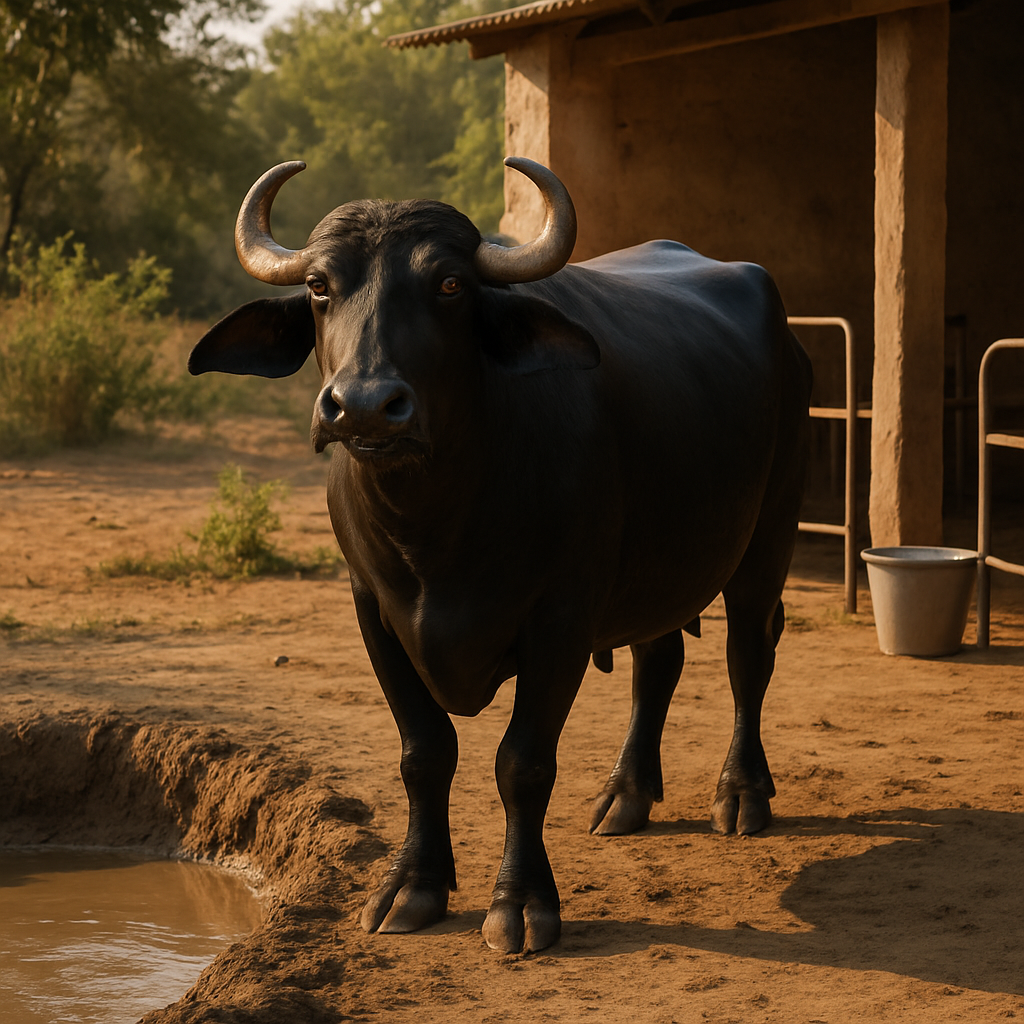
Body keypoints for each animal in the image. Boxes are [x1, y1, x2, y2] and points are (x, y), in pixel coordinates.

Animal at [189, 157, 812, 954]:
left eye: (450, 284)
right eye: (322, 286)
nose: (363, 406)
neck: (437, 531)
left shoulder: (561, 619)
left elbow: (522, 762)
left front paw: (521, 904)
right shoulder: (373, 609)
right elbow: (424, 752)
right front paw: (413, 887)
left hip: (771, 531)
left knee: (748, 656)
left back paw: (740, 794)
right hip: (656, 568)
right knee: (659, 662)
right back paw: (626, 795)